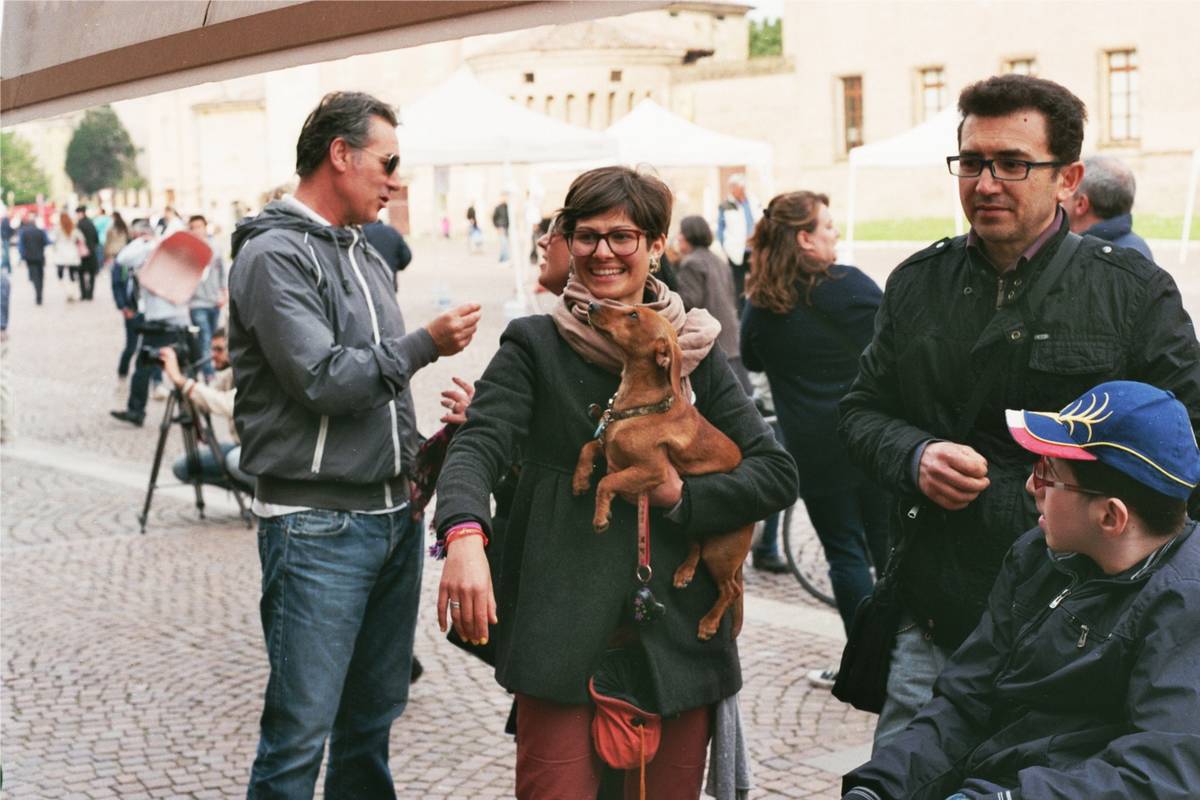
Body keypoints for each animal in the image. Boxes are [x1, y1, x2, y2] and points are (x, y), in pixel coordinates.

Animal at [572, 302, 754, 641]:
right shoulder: (609, 447)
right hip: (692, 526)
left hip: (720, 551)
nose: (592, 304)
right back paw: (684, 572)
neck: (639, 405)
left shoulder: (651, 470)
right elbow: (588, 448)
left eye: (634, 315)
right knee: (696, 547)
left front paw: (601, 516)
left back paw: (709, 623)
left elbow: (608, 481)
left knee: (731, 590)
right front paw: (580, 479)